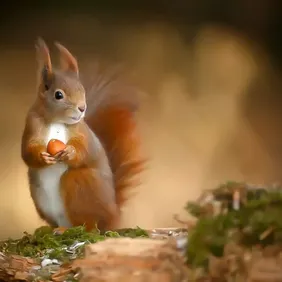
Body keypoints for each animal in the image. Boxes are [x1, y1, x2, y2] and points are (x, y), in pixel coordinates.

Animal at [20, 38, 144, 231]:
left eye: (82, 90)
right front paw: (42, 156)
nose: (82, 108)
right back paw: (54, 229)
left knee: (90, 224)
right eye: (58, 95)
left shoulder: (83, 132)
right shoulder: (32, 125)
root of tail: (113, 215)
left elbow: (86, 149)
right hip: (39, 195)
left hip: (79, 183)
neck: (57, 121)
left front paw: (70, 152)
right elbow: (27, 150)